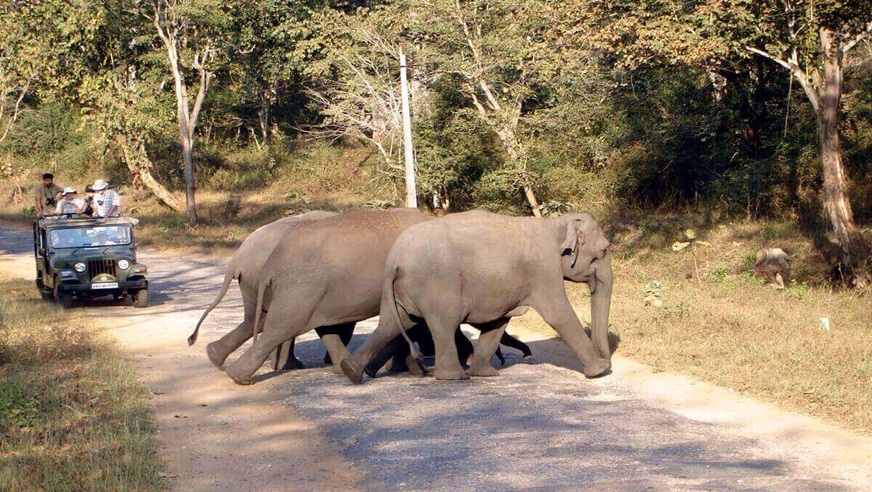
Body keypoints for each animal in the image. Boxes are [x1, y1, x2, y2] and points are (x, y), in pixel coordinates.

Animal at [186, 211, 354, 372]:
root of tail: (236, 260)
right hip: (263, 280)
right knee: (274, 318)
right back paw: (288, 366)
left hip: (252, 282)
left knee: (256, 319)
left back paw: (213, 355)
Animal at [340, 209, 612, 382]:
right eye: (604, 250)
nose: (608, 362)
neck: (554, 224)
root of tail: (396, 260)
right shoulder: (544, 270)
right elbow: (559, 314)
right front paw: (598, 371)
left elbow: (498, 323)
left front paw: (485, 374)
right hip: (439, 285)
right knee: (443, 324)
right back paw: (453, 376)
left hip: (397, 291)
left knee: (391, 324)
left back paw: (351, 371)